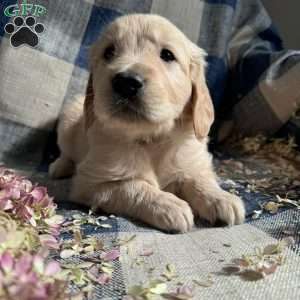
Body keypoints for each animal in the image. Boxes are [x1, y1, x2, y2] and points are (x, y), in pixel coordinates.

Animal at [49, 13, 246, 232]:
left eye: (167, 55)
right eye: (109, 52)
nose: (126, 83)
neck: (152, 138)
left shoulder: (191, 160)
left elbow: (198, 178)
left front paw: (220, 198)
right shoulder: (90, 183)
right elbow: (132, 186)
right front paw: (168, 205)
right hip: (67, 123)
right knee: (66, 152)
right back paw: (59, 167)